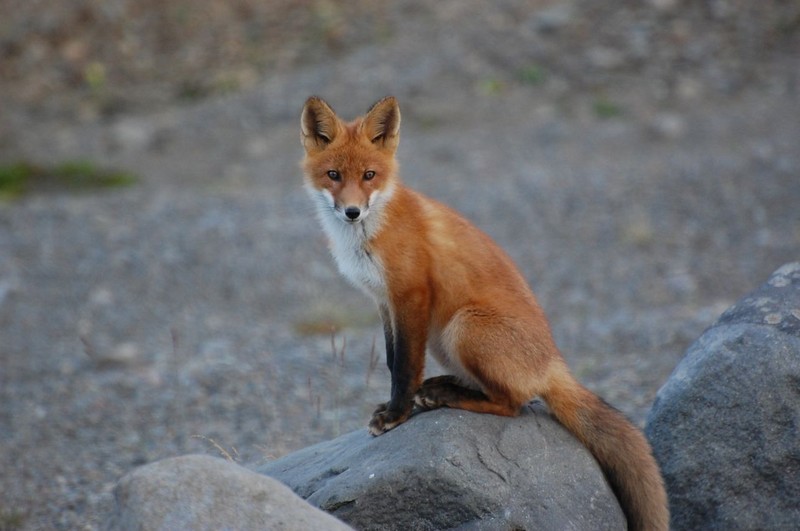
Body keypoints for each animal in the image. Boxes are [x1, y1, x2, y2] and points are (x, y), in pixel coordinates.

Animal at [300, 96, 668, 531]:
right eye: (334, 175)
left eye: (369, 175)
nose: (353, 212)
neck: (369, 234)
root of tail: (554, 363)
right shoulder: (383, 301)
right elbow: (391, 360)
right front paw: (395, 406)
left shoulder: (411, 295)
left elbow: (404, 366)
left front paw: (396, 414)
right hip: (444, 339)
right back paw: (443, 387)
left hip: (463, 327)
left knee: (513, 404)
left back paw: (447, 396)